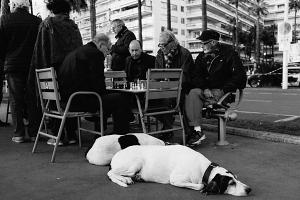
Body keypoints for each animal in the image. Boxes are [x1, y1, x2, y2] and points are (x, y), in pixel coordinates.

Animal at [108, 145, 251, 196]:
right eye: (231, 183)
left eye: (237, 179)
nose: (249, 189)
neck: (205, 169)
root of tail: (116, 155)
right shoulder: (176, 179)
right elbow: (200, 185)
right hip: (135, 163)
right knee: (110, 173)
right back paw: (124, 179)